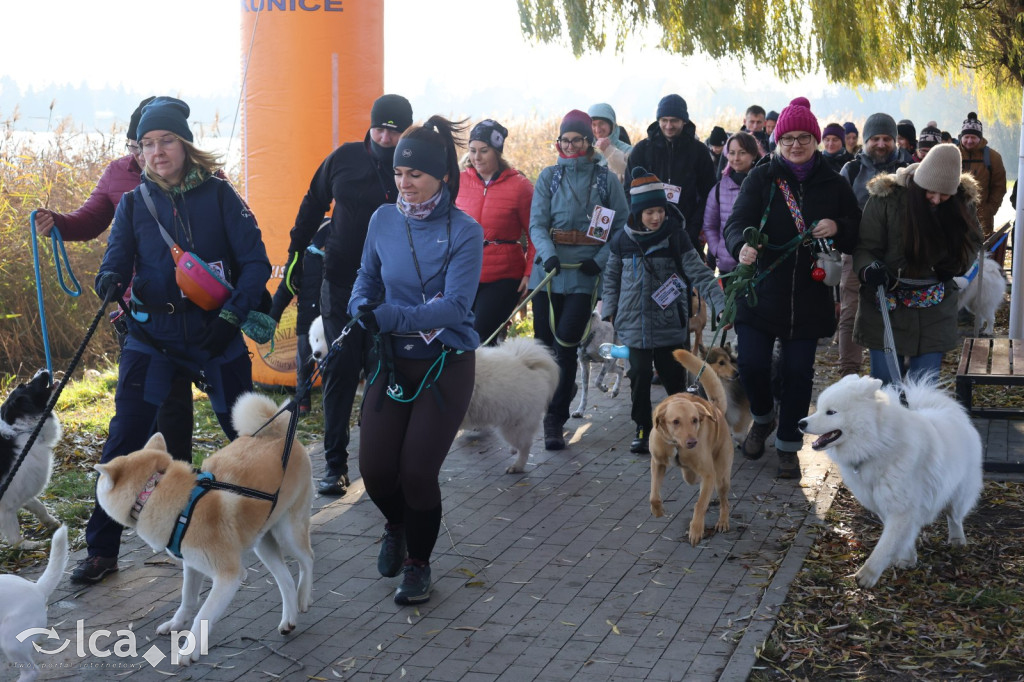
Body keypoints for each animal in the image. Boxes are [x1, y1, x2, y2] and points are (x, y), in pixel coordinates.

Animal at [95, 391, 311, 659]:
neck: (154, 491)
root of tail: (279, 434)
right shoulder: (192, 564)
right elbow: (188, 600)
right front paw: (175, 624)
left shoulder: (228, 576)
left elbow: (203, 616)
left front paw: (189, 650)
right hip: (263, 541)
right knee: (286, 580)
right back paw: (288, 620)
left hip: (288, 533)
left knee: (308, 560)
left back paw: (304, 597)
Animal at [307, 315, 557, 471]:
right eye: (314, 339)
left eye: (326, 338)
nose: (317, 354)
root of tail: (528, 363)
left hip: (515, 423)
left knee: (526, 446)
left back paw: (518, 465)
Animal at [651, 348, 733, 544]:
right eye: (675, 422)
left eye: (695, 420)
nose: (692, 442)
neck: (675, 445)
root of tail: (715, 409)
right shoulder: (657, 463)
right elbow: (654, 496)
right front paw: (658, 510)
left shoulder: (709, 474)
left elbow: (700, 504)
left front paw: (696, 529)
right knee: (690, 477)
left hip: (721, 478)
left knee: (725, 501)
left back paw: (723, 521)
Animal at [798, 374, 983, 585]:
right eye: (819, 408)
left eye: (831, 412)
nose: (801, 423)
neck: (878, 445)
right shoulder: (882, 504)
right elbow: (901, 538)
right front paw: (907, 558)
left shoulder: (902, 508)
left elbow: (886, 544)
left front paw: (867, 576)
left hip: (960, 492)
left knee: (955, 516)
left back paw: (957, 540)